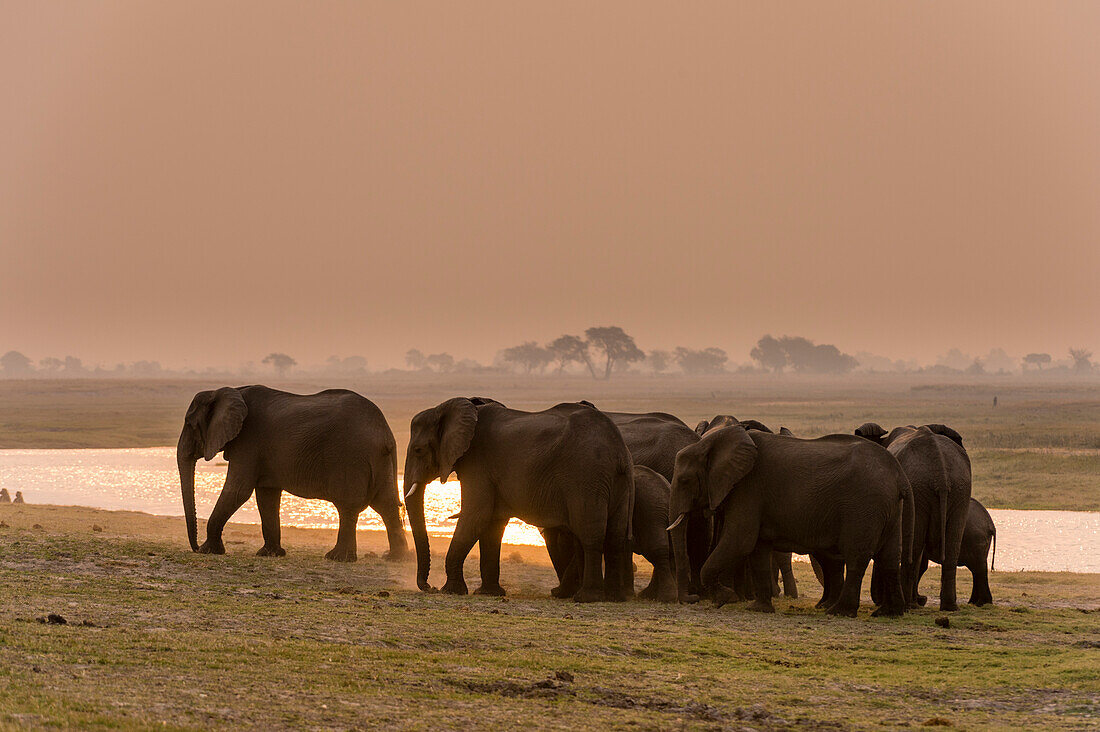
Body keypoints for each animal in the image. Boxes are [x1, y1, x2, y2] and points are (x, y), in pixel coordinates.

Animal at [177, 385, 409, 561]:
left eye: (190, 424)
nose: (195, 547)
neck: (227, 390)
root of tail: (384, 432)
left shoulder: (249, 442)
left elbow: (238, 491)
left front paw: (209, 551)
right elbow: (266, 496)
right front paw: (270, 554)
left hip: (351, 457)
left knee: (349, 506)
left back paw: (337, 558)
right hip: (380, 461)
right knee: (387, 505)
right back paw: (396, 558)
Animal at [404, 396, 633, 603]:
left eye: (418, 450)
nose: (429, 587)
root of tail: (620, 450)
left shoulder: (477, 462)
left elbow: (476, 516)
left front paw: (450, 591)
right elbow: (493, 524)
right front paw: (488, 593)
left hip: (586, 477)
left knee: (590, 535)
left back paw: (586, 598)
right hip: (613, 482)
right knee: (615, 535)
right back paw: (614, 598)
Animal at [668, 422, 910, 616]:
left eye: (685, 480)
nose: (692, 599)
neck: (713, 442)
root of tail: (898, 474)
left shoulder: (748, 488)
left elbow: (741, 540)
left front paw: (724, 598)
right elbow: (758, 549)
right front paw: (758, 609)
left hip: (863, 506)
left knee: (857, 557)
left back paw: (839, 612)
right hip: (889, 508)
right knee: (890, 556)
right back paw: (889, 613)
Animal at [849, 422, 972, 612]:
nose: (876, 599)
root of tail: (940, 469)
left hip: (920, 487)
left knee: (912, 547)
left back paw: (908, 604)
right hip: (959, 489)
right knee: (951, 547)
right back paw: (947, 607)